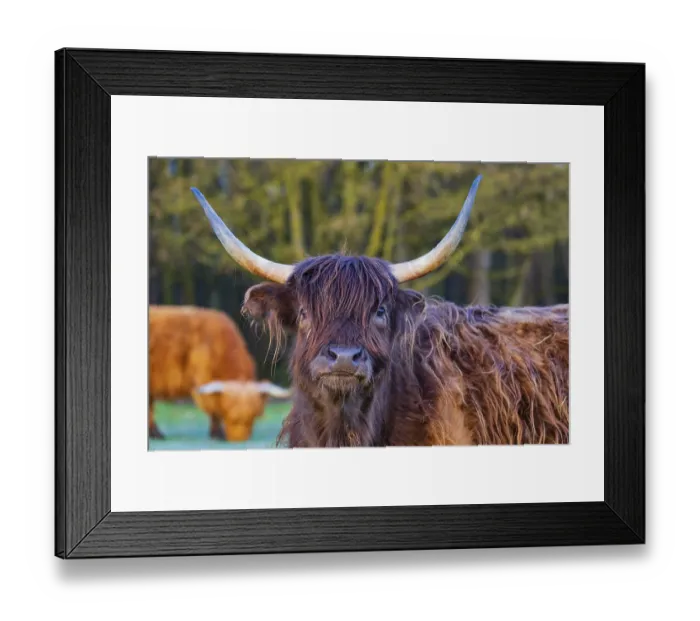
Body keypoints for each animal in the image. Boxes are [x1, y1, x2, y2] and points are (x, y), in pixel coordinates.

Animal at [148, 305, 291, 442]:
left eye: (252, 417)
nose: (239, 440)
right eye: (232, 416)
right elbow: (214, 409)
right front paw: (218, 434)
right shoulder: (205, 378)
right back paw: (156, 434)